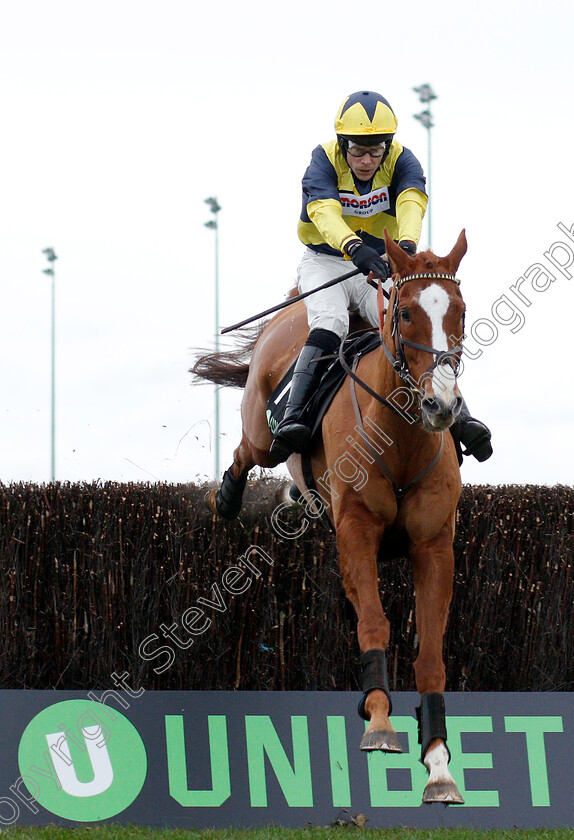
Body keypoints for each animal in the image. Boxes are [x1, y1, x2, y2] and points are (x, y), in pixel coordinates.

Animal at [191, 231, 470, 808]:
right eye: (405, 312)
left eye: (459, 311)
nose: (441, 405)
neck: (400, 439)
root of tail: (291, 312)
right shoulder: (356, 532)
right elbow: (375, 622)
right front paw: (380, 721)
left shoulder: (434, 546)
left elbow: (430, 654)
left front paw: (438, 765)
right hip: (264, 431)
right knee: (249, 451)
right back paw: (228, 496)